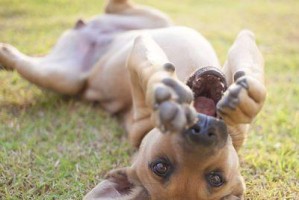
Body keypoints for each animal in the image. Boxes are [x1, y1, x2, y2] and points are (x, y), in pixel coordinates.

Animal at [0, 0, 268, 199]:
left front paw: (247, 97)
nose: (200, 129)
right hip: (62, 76)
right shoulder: (139, 53)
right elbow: (151, 66)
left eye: (216, 178)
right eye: (160, 166)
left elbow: (249, 64)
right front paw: (164, 90)